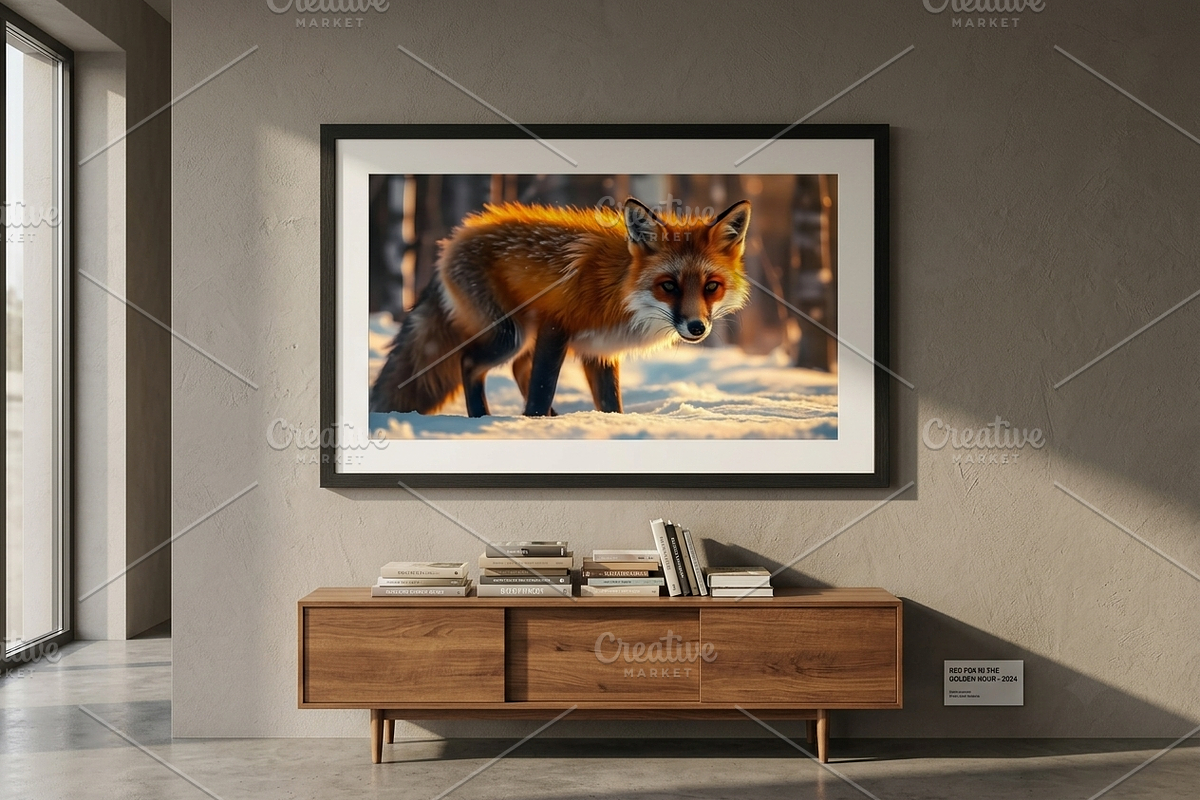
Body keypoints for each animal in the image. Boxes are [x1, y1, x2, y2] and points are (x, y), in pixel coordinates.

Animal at [369, 197, 752, 418]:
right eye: (668, 285)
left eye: (711, 286)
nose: (697, 327)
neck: (620, 289)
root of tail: (455, 237)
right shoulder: (557, 326)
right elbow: (542, 388)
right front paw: (535, 423)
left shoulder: (600, 349)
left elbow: (610, 405)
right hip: (510, 335)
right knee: (470, 363)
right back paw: (483, 418)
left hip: (524, 336)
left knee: (518, 368)